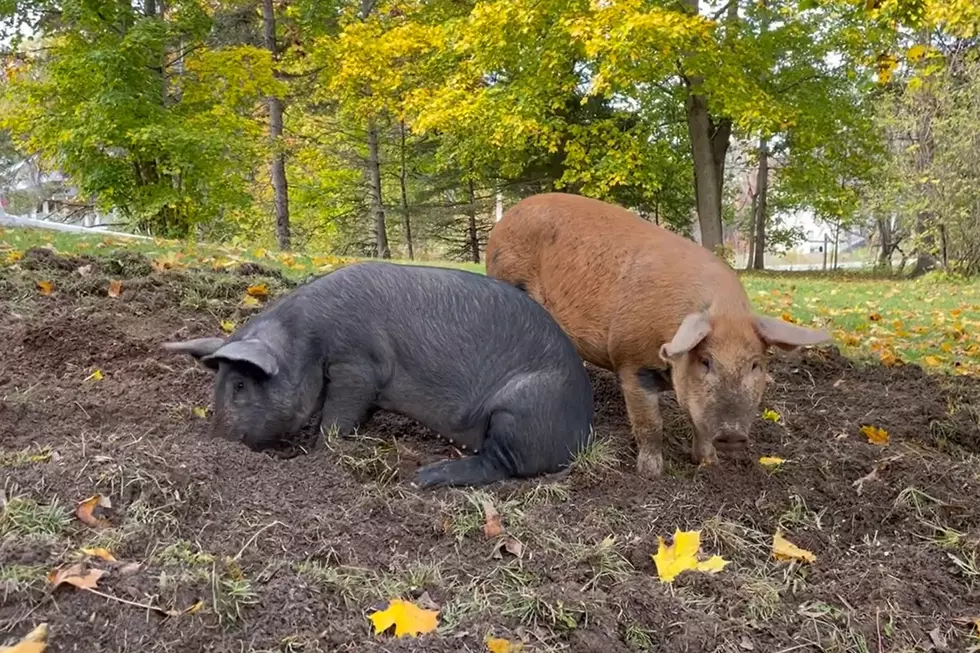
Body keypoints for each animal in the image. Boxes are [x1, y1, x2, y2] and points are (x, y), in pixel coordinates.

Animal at [162, 258, 592, 484]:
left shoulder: (357, 366)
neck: (306, 340)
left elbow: (336, 419)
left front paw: (319, 455)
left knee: (502, 464)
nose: (216, 441)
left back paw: (424, 477)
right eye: (217, 384)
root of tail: (582, 435)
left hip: (522, 408)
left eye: (239, 384)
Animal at [486, 191, 832, 476]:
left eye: (755, 365)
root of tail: (504, 220)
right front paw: (650, 474)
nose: (732, 434)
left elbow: (697, 422)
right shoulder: (630, 361)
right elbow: (650, 424)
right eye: (706, 361)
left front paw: (708, 464)